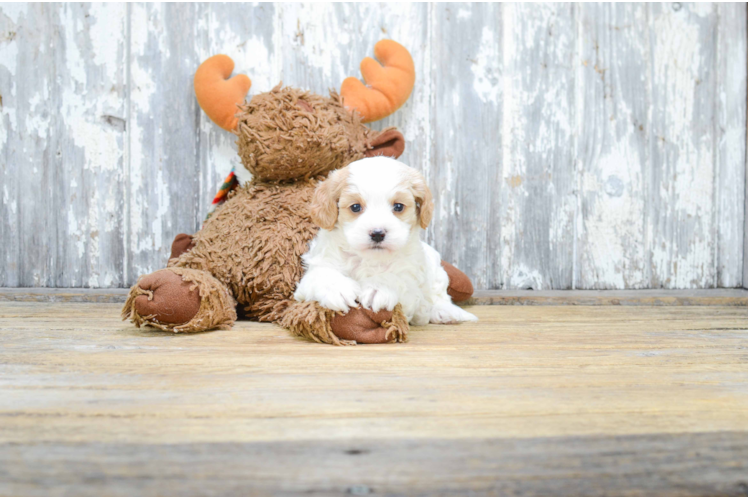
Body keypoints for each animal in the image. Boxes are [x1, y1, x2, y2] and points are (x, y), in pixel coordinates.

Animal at [294, 158, 476, 326]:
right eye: (355, 207)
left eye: (398, 206)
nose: (377, 233)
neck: (369, 259)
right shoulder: (316, 271)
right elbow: (321, 275)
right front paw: (338, 288)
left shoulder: (410, 285)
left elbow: (396, 279)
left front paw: (378, 288)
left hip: (436, 271)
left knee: (438, 296)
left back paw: (444, 311)